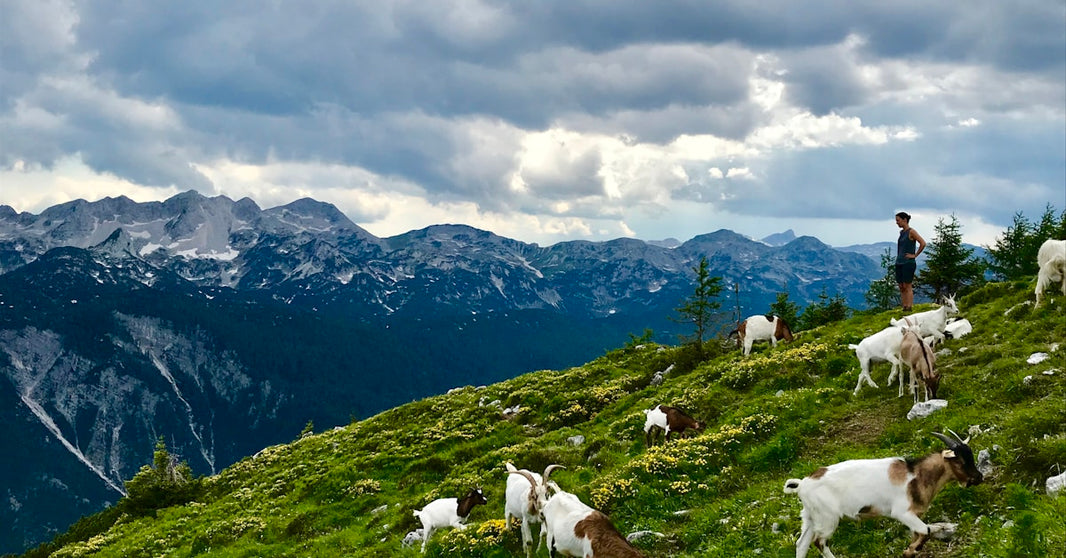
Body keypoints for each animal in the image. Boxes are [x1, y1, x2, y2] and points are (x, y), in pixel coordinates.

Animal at [780, 433, 984, 558]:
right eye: (961, 461)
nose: (979, 477)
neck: (916, 474)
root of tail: (802, 484)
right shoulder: (902, 513)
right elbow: (925, 531)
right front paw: (908, 552)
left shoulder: (914, 516)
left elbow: (920, 533)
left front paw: (910, 550)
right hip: (827, 518)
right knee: (819, 542)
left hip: (810, 517)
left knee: (802, 543)